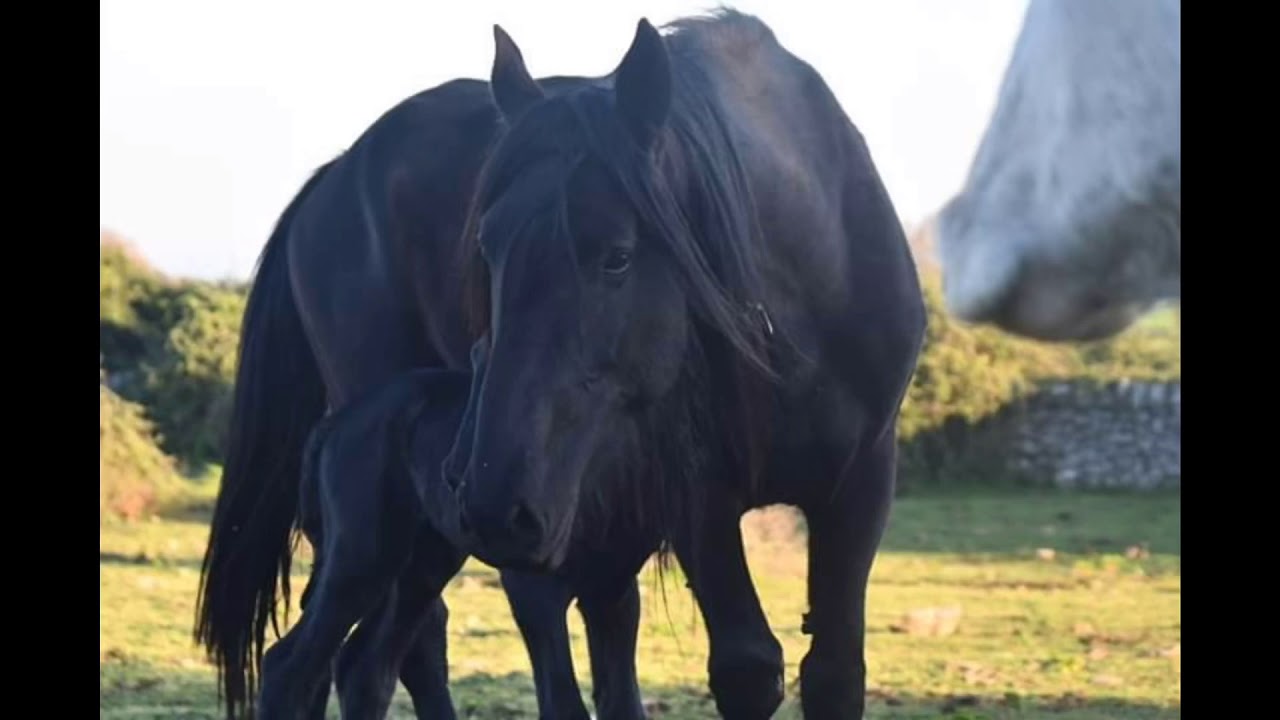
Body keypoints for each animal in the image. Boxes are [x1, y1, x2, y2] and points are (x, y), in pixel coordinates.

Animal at [268, 363, 658, 720]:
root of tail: (335, 424)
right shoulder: (535, 589)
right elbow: (563, 703)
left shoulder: (613, 590)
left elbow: (622, 702)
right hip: (361, 558)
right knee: (288, 666)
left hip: (421, 567)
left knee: (365, 666)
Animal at [441, 11, 926, 719]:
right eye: (489, 247)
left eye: (617, 256)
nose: (495, 502)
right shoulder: (695, 490)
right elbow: (748, 667)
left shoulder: (862, 479)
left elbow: (834, 670)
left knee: (609, 612)